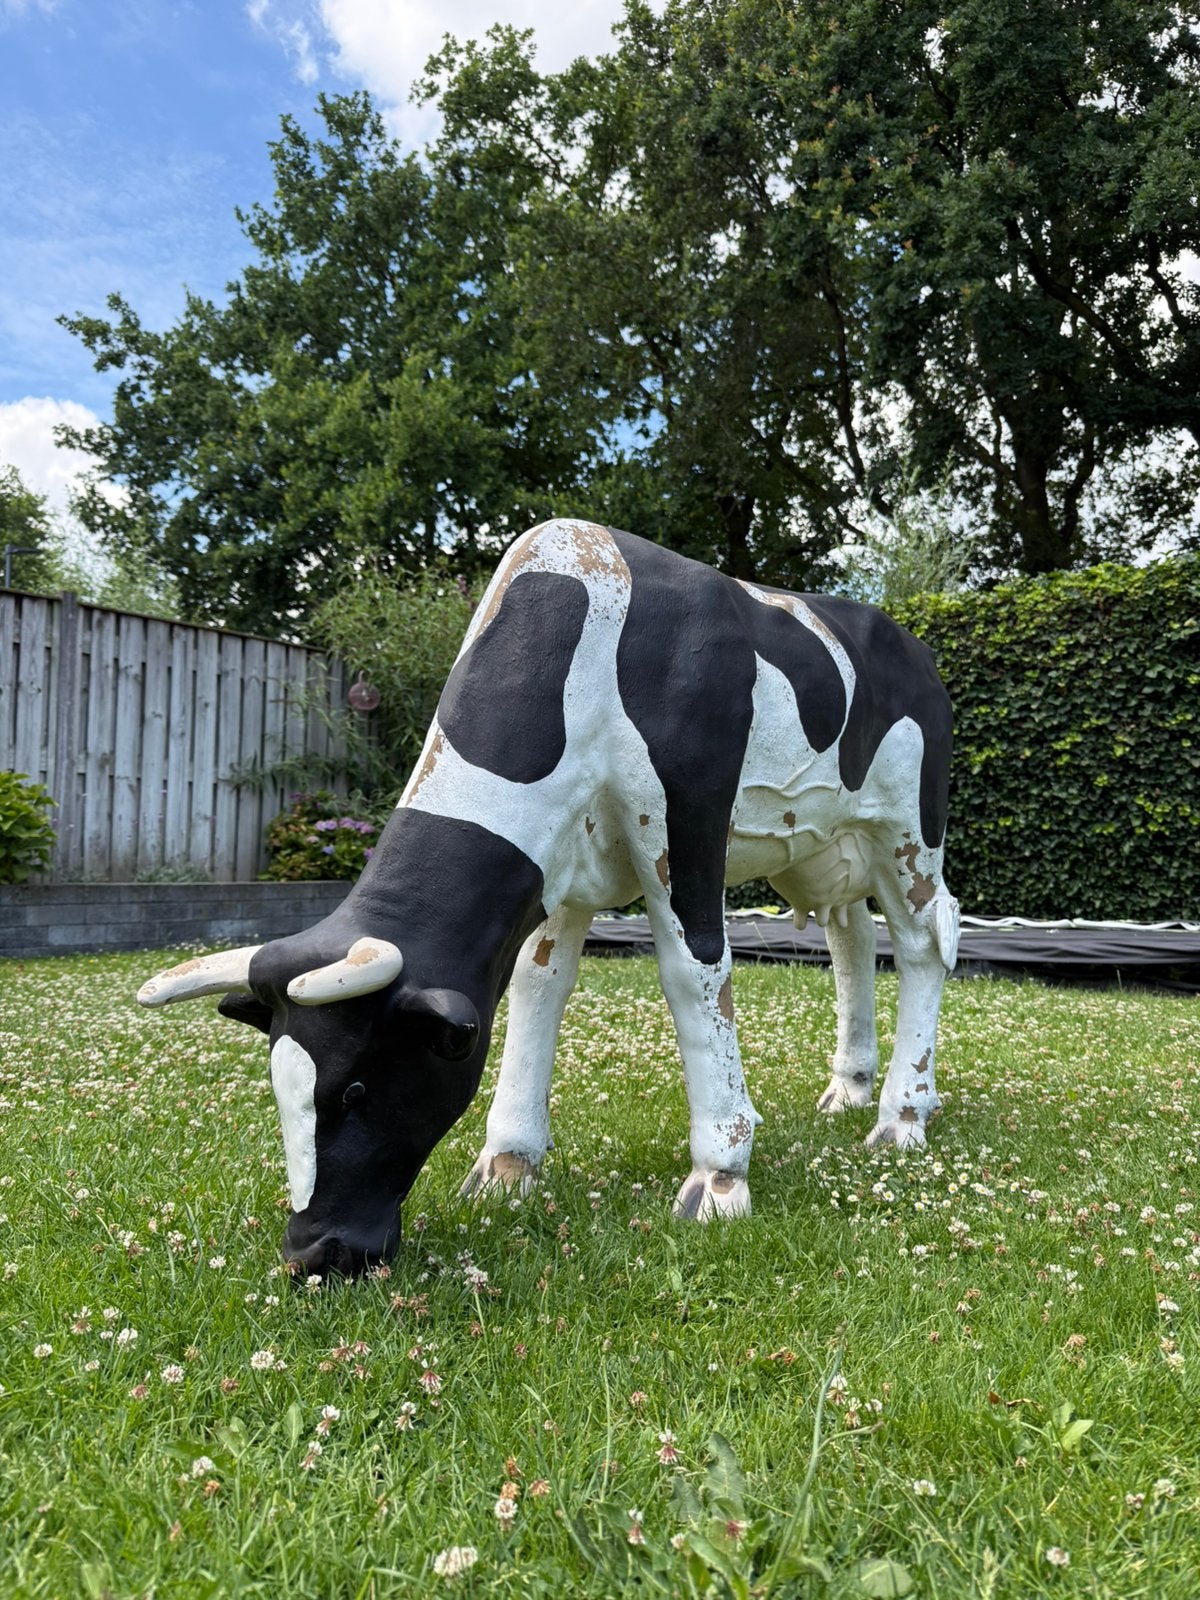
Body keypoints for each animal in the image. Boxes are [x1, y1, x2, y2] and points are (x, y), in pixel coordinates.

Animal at [138, 519, 959, 1277]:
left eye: (360, 1087)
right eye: (280, 1088)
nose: (314, 1253)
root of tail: (912, 645)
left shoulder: (687, 821)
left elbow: (694, 977)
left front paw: (721, 1176)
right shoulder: (559, 863)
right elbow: (538, 986)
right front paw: (508, 1165)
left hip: (910, 830)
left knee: (925, 943)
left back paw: (900, 1117)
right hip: (824, 847)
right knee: (852, 938)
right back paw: (850, 1089)